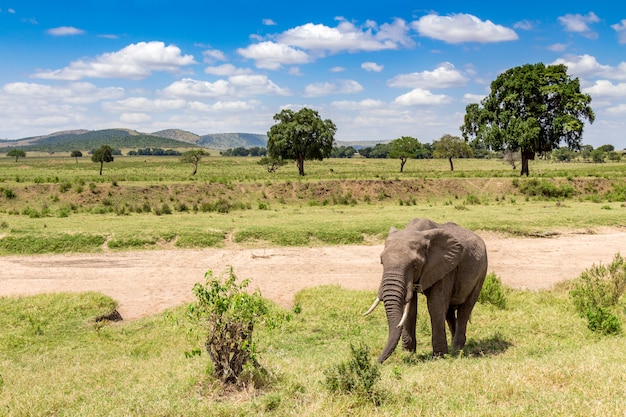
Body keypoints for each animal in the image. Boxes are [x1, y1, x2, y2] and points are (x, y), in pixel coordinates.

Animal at [360, 218, 488, 360]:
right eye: (382, 262)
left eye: (415, 265)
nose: (377, 361)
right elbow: (410, 307)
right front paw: (408, 352)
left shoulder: (445, 267)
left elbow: (435, 305)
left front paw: (439, 356)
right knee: (449, 311)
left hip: (482, 270)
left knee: (465, 309)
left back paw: (457, 348)